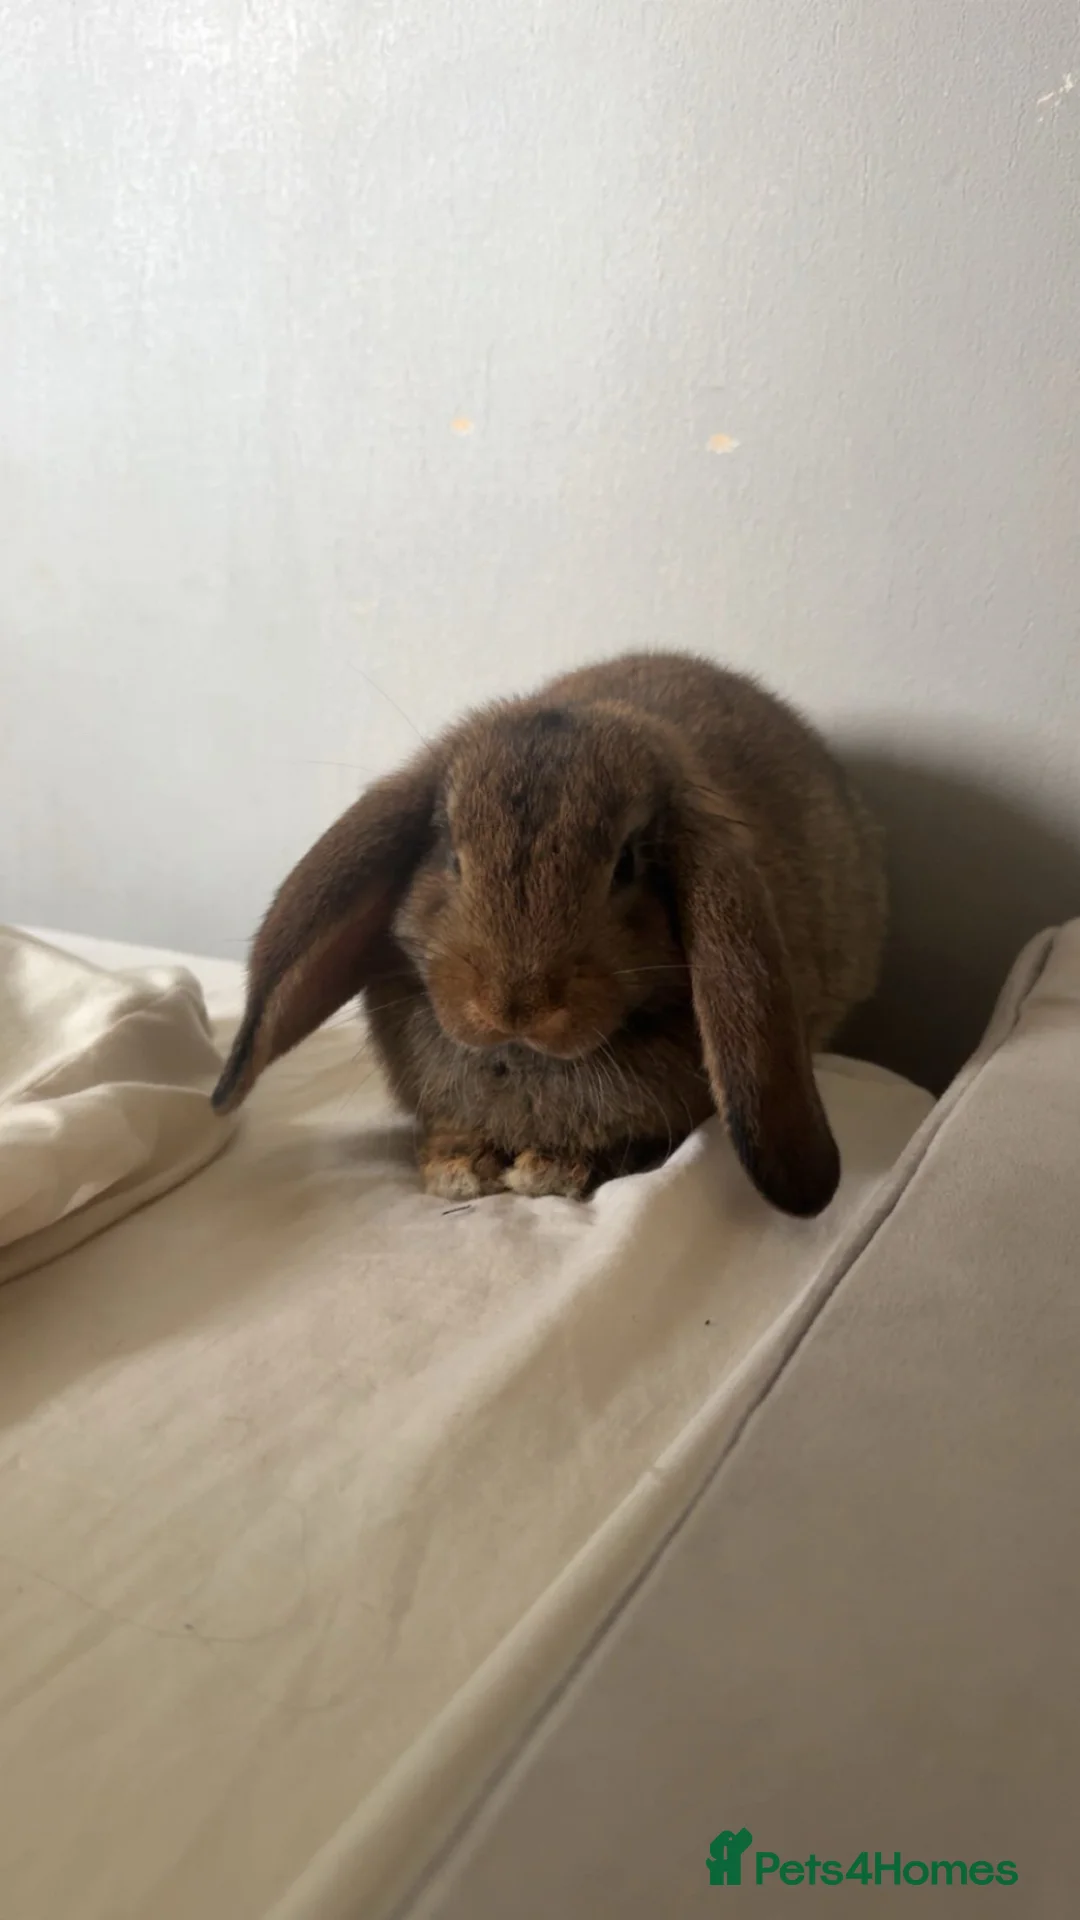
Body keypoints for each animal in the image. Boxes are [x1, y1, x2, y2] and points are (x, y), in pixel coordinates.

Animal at [213, 652, 886, 1216]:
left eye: (627, 865)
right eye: (451, 855)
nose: (514, 1006)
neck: (518, 1060)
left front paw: (548, 1171)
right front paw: (457, 1169)